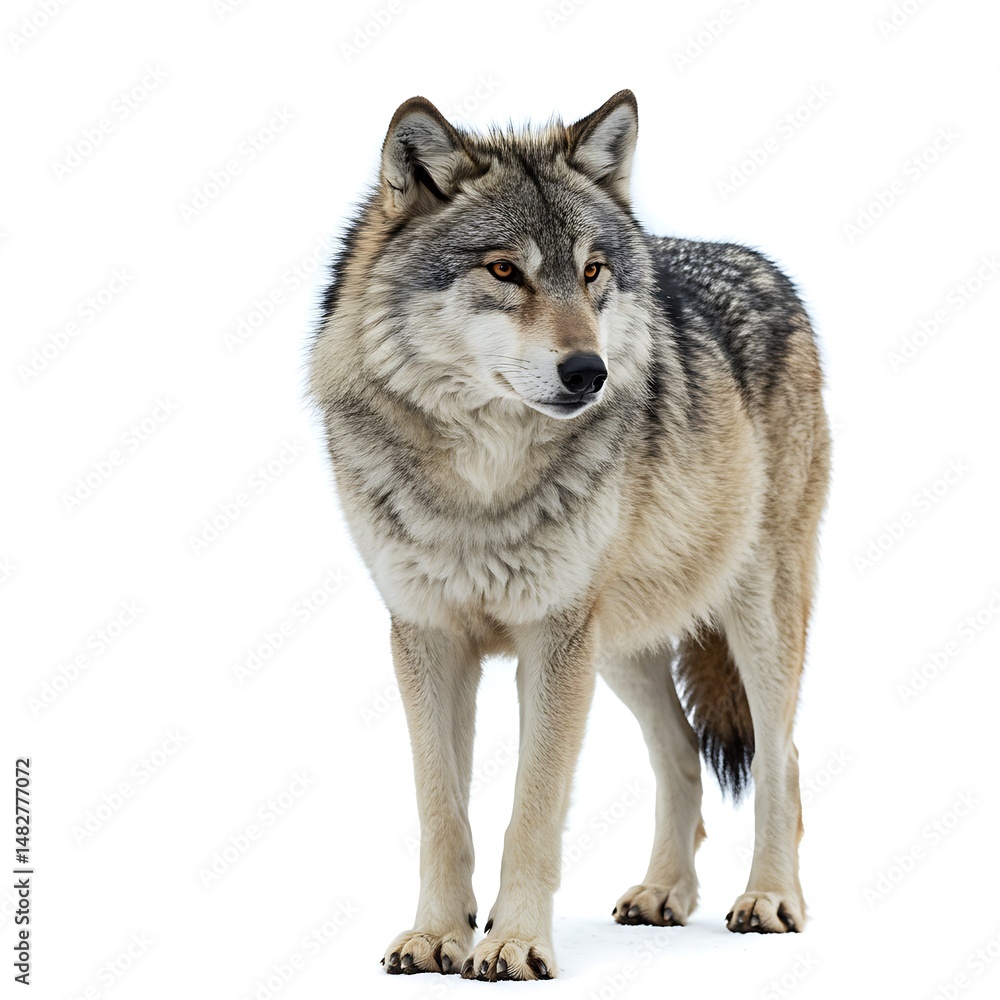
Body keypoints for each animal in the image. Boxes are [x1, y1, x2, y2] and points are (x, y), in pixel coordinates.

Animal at [309, 90, 830, 981]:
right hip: (618, 647)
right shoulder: (427, 636)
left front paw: (515, 942)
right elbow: (441, 813)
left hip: (748, 620)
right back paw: (664, 894)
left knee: (780, 757)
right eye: (504, 271)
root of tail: (762, 264)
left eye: (591, 271)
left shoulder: (551, 639)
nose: (589, 373)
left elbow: (533, 810)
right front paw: (437, 935)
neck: (481, 481)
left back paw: (770, 898)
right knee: (681, 752)